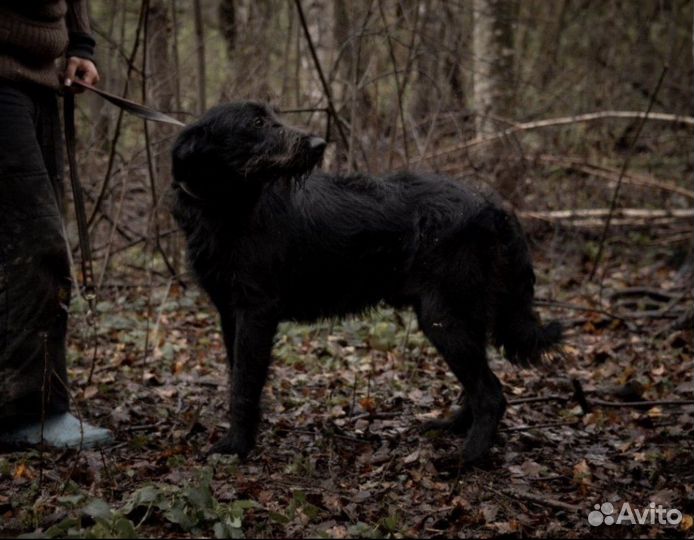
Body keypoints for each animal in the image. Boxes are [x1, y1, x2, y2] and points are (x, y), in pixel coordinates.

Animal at [171, 102, 564, 464]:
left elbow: (244, 384)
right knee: (480, 383)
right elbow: (237, 376)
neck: (228, 208)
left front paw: (236, 447)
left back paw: (467, 458)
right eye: (256, 123)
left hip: (444, 317)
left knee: (491, 393)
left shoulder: (256, 312)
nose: (318, 144)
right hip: (461, 314)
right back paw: (453, 426)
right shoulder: (229, 312)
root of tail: (493, 206)